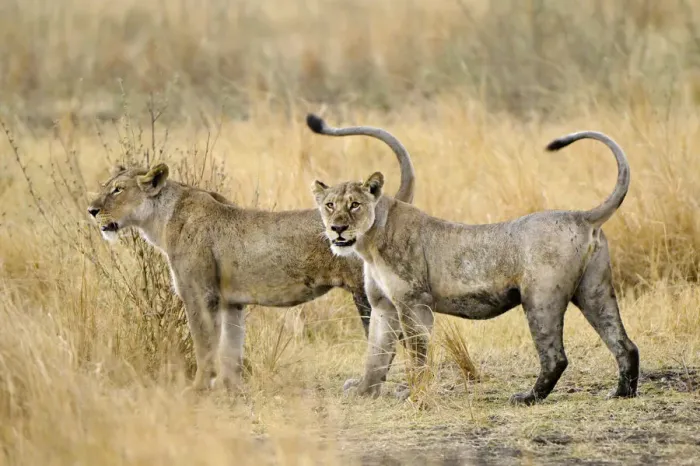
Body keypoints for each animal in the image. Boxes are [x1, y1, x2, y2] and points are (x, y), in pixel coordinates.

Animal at [87, 117, 415, 392]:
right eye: (106, 186)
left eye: (118, 189)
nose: (91, 210)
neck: (161, 218)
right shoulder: (230, 302)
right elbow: (230, 349)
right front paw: (231, 390)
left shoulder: (200, 295)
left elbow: (204, 346)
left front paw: (197, 389)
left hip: (365, 292)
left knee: (393, 337)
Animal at [311, 127, 639, 405]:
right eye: (329, 205)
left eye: (355, 205)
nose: (337, 228)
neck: (369, 242)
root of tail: (581, 216)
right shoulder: (383, 305)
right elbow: (375, 354)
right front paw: (364, 391)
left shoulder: (414, 302)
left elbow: (417, 354)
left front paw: (413, 393)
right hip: (594, 290)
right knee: (624, 344)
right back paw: (622, 393)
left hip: (541, 297)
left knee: (556, 356)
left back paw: (527, 398)